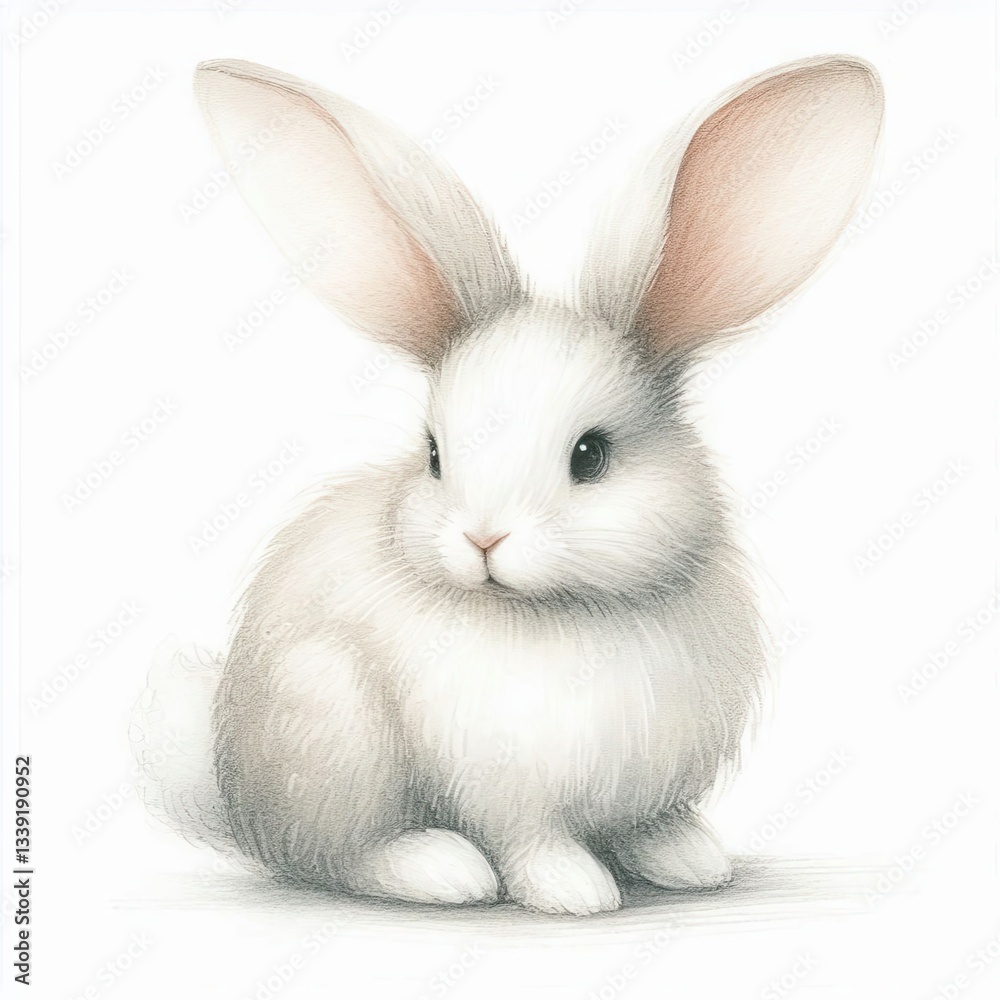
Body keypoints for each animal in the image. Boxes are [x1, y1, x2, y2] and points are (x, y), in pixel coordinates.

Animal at [139, 56, 883, 916]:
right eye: (434, 454)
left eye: (591, 455)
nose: (483, 538)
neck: (556, 614)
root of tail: (235, 798)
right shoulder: (507, 792)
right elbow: (533, 840)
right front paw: (576, 892)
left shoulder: (653, 779)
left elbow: (650, 821)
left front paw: (690, 860)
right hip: (328, 720)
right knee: (331, 856)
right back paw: (439, 869)